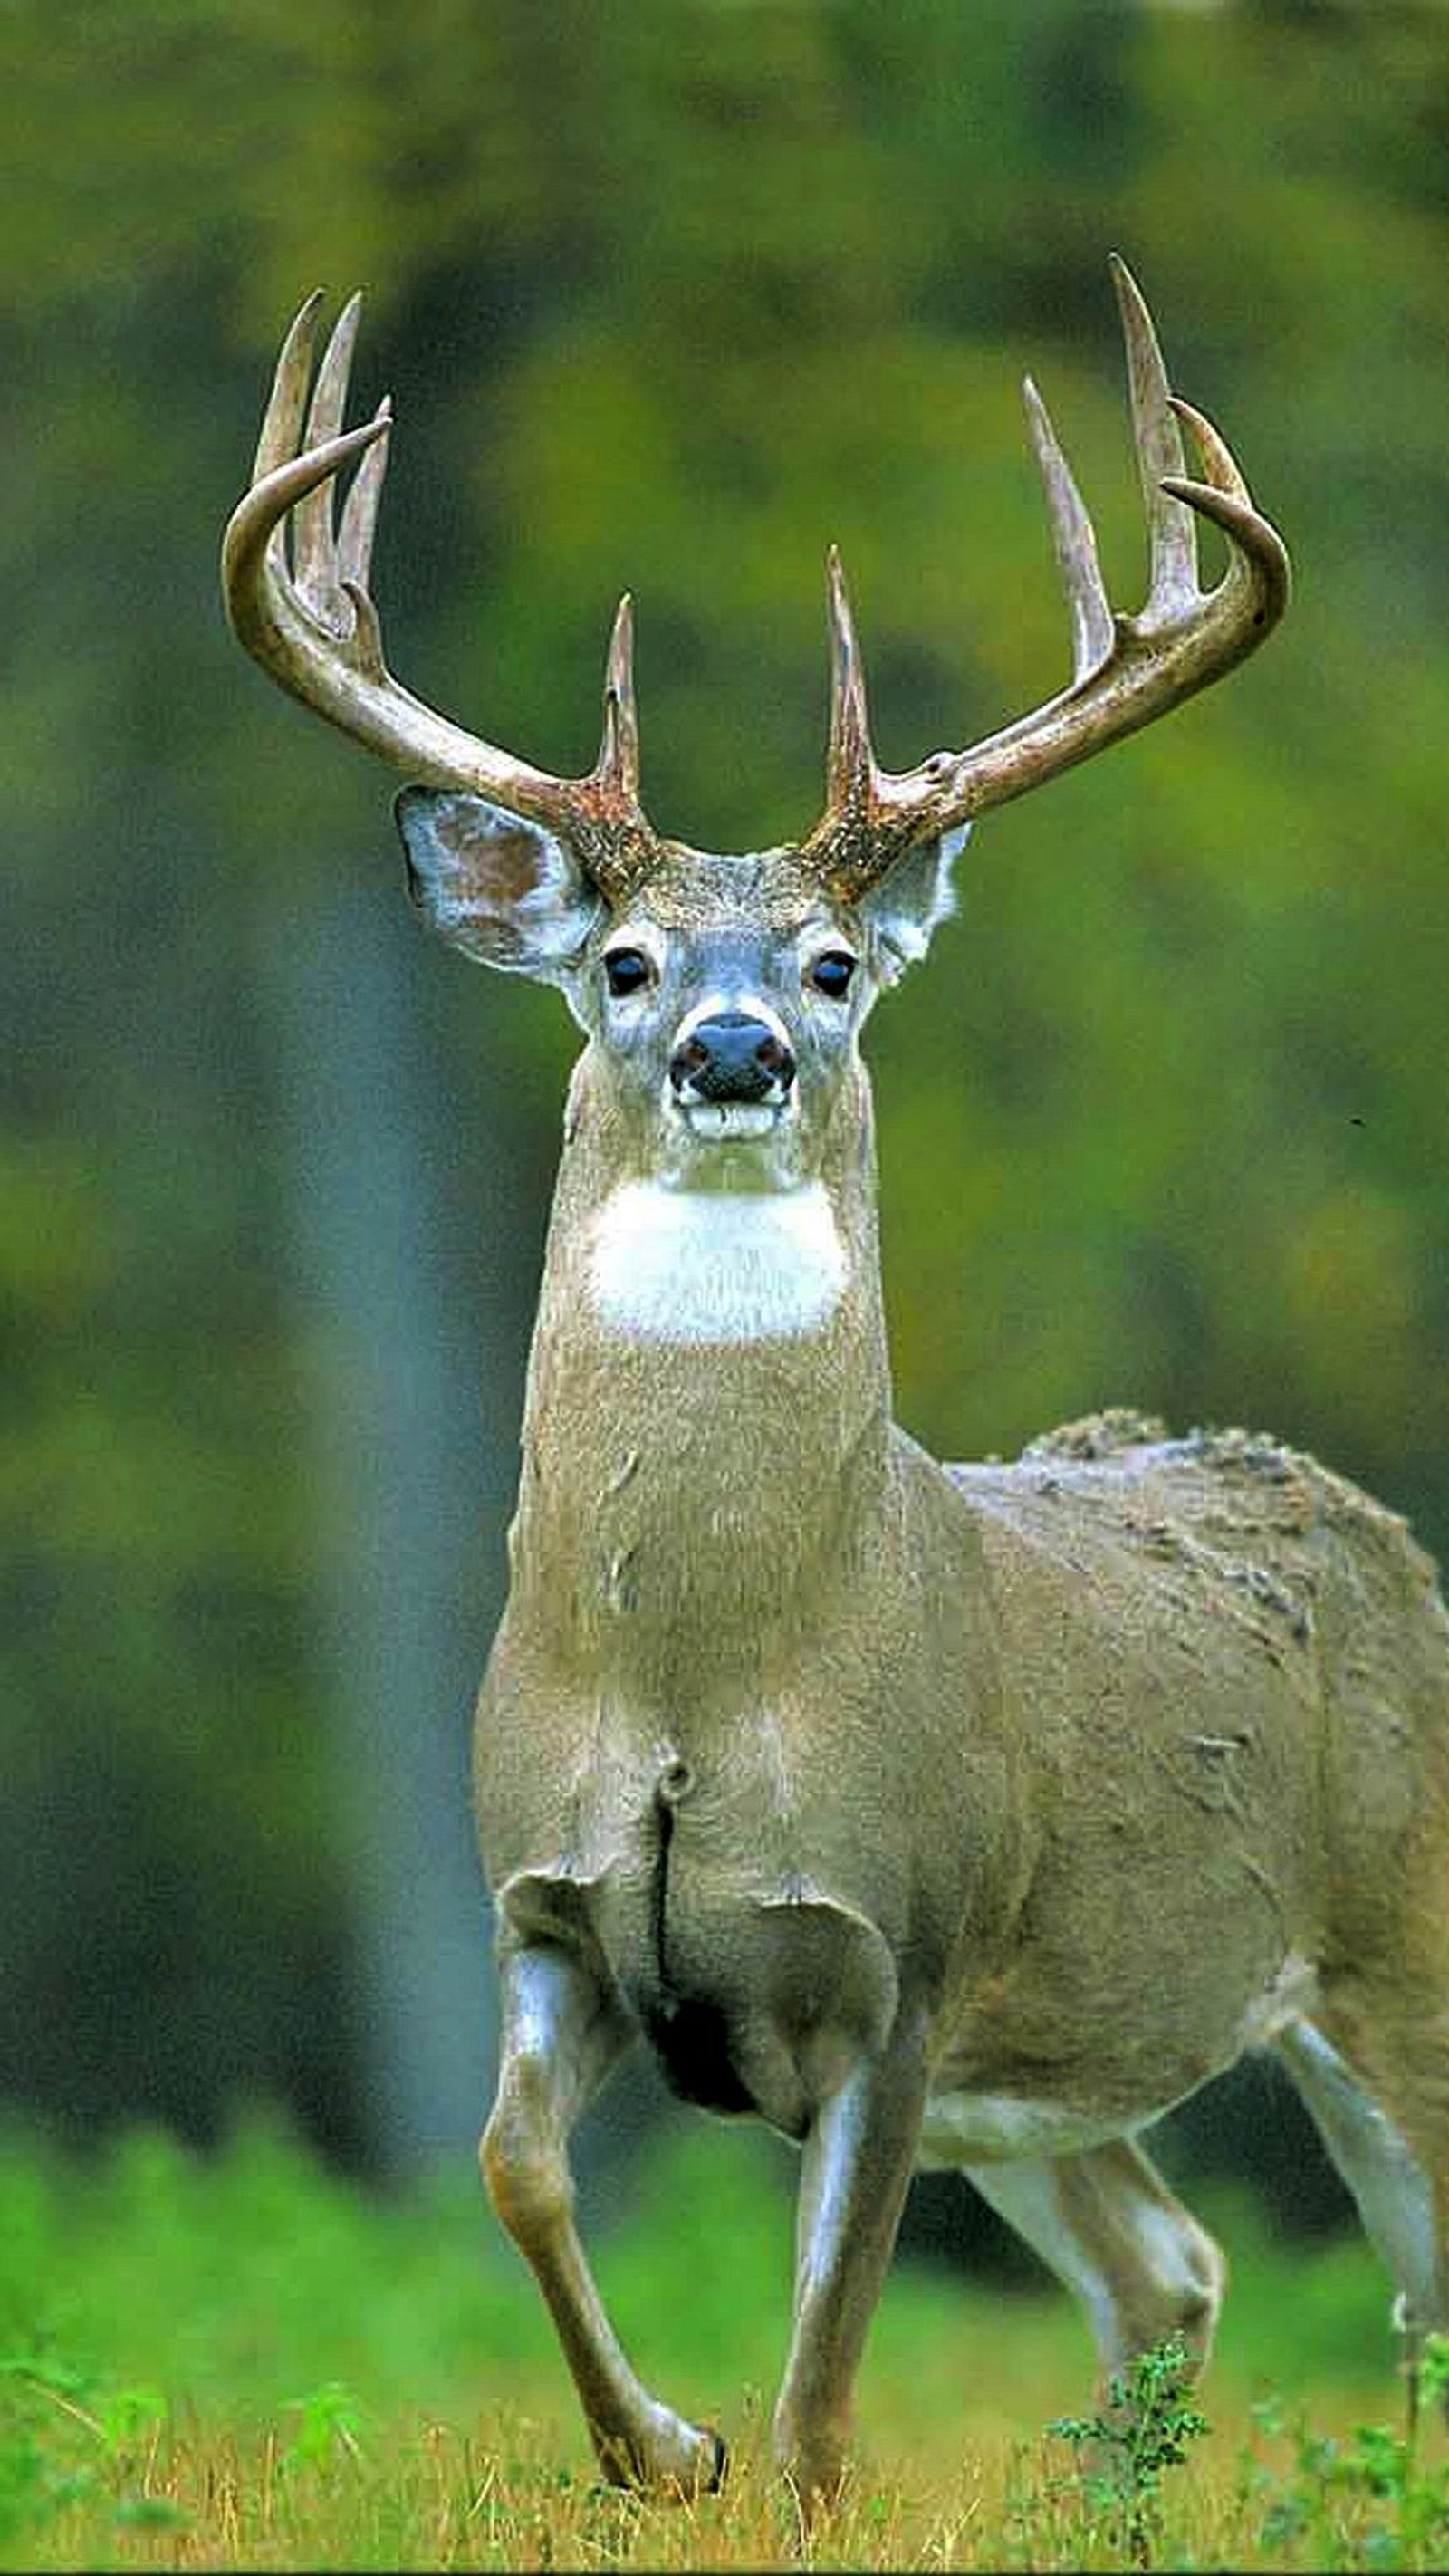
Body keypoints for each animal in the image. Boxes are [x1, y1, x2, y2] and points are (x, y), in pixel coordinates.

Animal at [218, 266, 1449, 2514]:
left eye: (832, 965)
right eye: (618, 961)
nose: (732, 1051)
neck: (702, 1675)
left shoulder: (910, 1956)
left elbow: (824, 2394)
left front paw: (738, 2457)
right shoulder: (541, 1905)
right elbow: (512, 2169)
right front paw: (654, 2448)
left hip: (1388, 1940)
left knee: (1391, 2288)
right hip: (1052, 2076)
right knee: (1172, 2266)